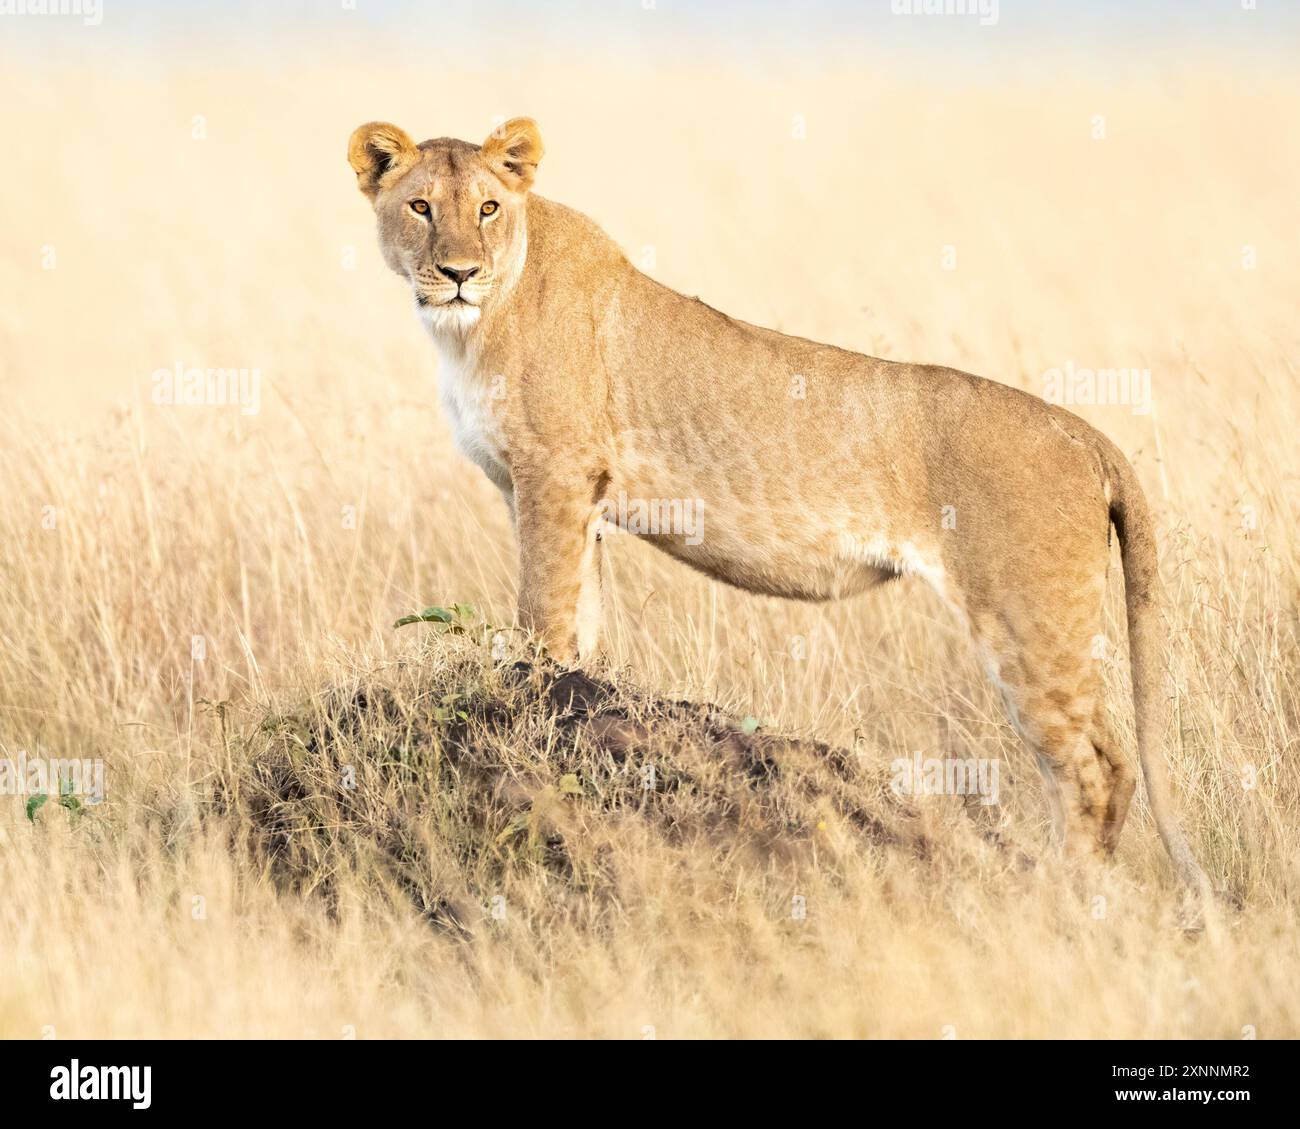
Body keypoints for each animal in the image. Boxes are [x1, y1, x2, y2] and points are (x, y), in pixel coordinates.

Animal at [347, 117, 1208, 891]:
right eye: (421, 206)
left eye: (488, 207)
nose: (458, 271)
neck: (471, 326)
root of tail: (1082, 430)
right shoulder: (569, 497)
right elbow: (583, 623)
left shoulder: (552, 478)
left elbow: (543, 619)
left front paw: (538, 711)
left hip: (1030, 618)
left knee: (1096, 767)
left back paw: (1068, 892)